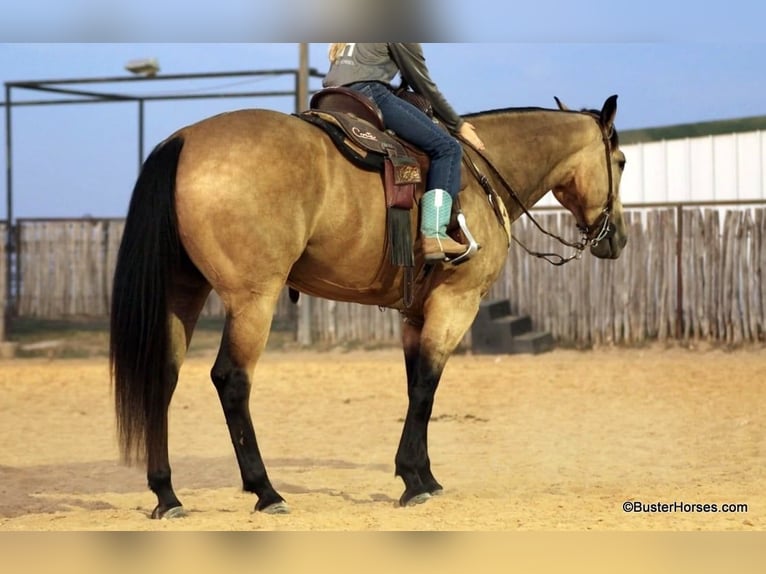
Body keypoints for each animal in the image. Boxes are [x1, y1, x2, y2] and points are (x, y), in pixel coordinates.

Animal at [110, 94, 627, 518]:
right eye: (621, 161)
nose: (617, 238)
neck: (483, 171)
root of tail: (183, 141)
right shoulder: (456, 303)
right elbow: (426, 387)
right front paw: (413, 482)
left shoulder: (415, 314)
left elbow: (415, 388)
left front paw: (422, 475)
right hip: (253, 299)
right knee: (231, 380)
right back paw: (266, 491)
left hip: (184, 293)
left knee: (163, 379)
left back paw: (167, 495)